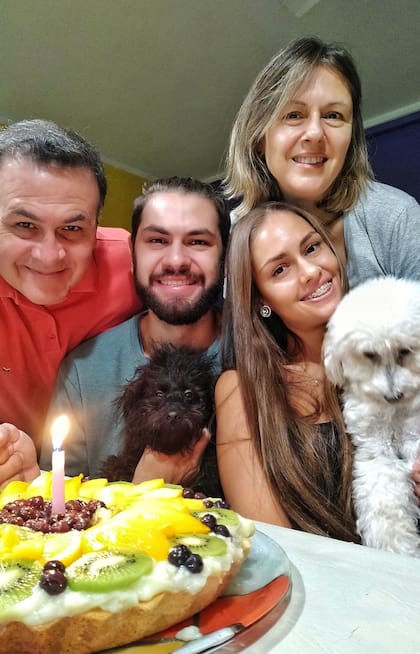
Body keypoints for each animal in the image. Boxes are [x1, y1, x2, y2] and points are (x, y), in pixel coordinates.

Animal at [324, 276, 420, 560]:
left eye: (405, 350)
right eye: (369, 354)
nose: (393, 395)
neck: (396, 413)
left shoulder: (415, 438)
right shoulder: (377, 451)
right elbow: (384, 502)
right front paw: (396, 547)